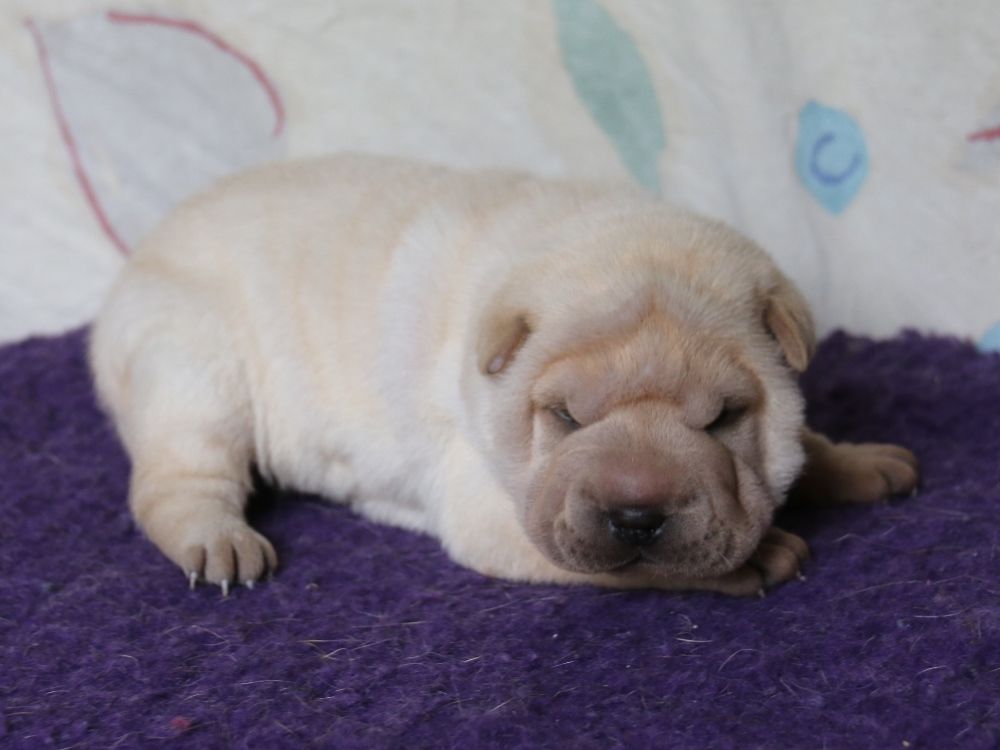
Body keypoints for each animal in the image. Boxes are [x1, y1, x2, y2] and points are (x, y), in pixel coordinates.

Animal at [89, 154, 918, 596]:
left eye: (721, 419)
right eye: (567, 418)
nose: (637, 515)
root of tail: (132, 266)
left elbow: (805, 446)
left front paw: (858, 460)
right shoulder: (497, 513)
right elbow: (625, 567)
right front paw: (764, 552)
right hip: (193, 367)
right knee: (176, 482)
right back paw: (219, 541)